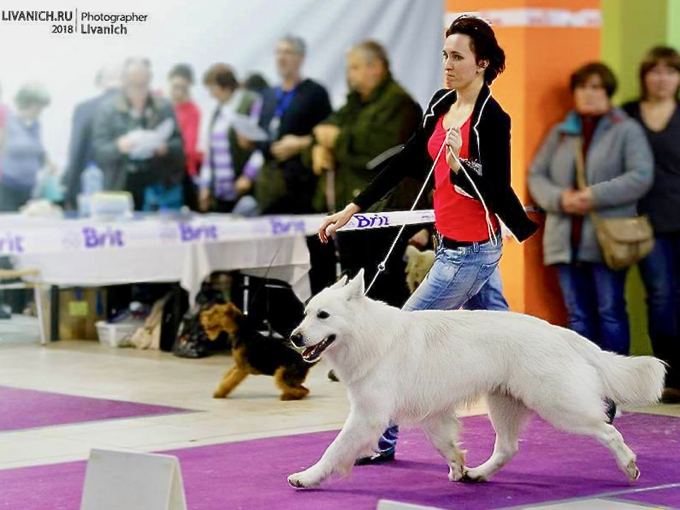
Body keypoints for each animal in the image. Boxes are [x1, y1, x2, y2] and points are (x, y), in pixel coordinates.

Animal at [286, 270, 664, 490]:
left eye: (323, 315)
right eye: (305, 313)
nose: (293, 337)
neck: (367, 333)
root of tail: (562, 333)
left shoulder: (368, 416)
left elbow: (334, 449)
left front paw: (307, 477)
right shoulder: (431, 414)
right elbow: (445, 444)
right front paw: (458, 466)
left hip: (559, 407)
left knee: (609, 431)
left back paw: (629, 466)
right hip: (503, 405)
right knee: (508, 448)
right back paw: (479, 473)